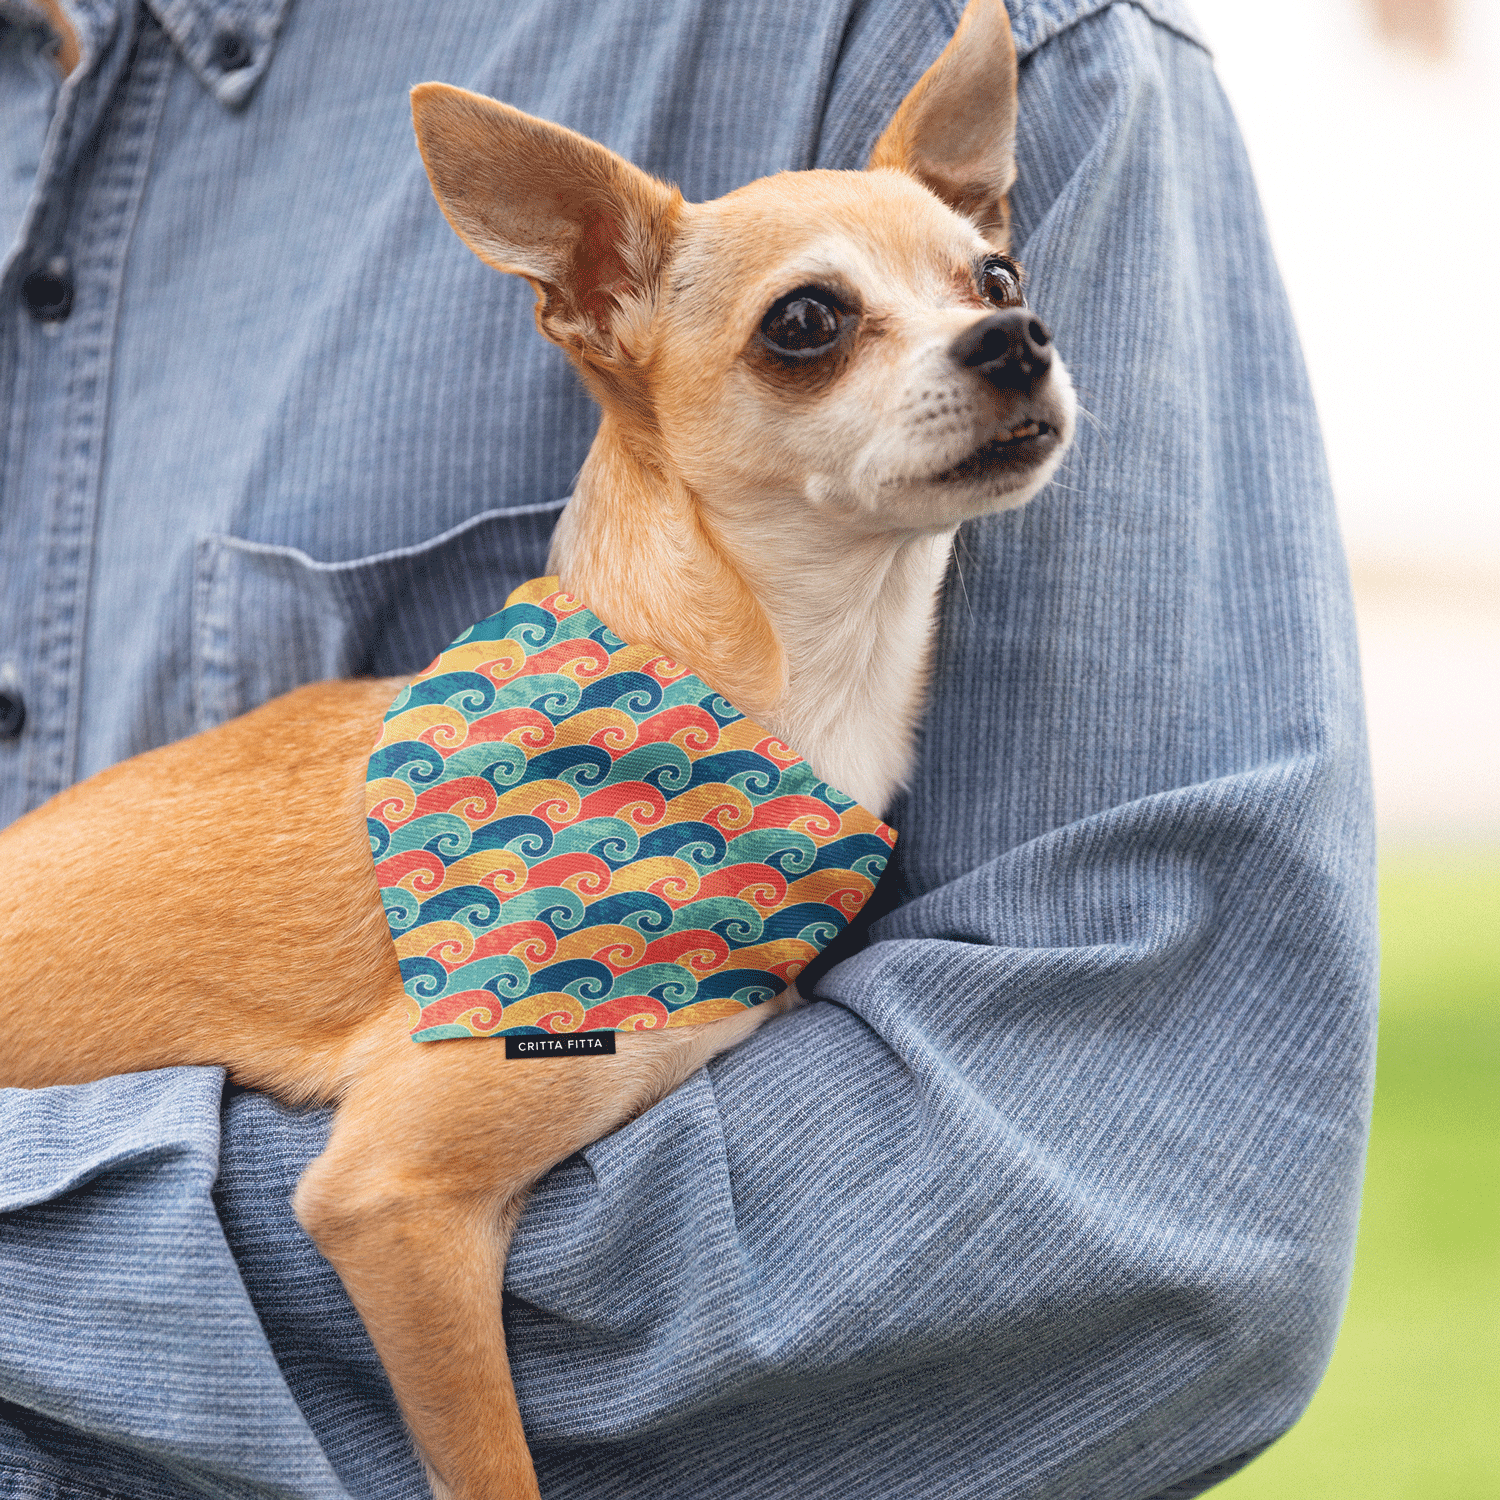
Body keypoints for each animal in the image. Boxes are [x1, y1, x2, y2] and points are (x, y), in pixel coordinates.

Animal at [0, 5, 1080, 1494]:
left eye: (997, 273)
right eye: (806, 322)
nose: (1016, 338)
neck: (755, 683)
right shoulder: (396, 1199)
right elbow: (489, 1465)